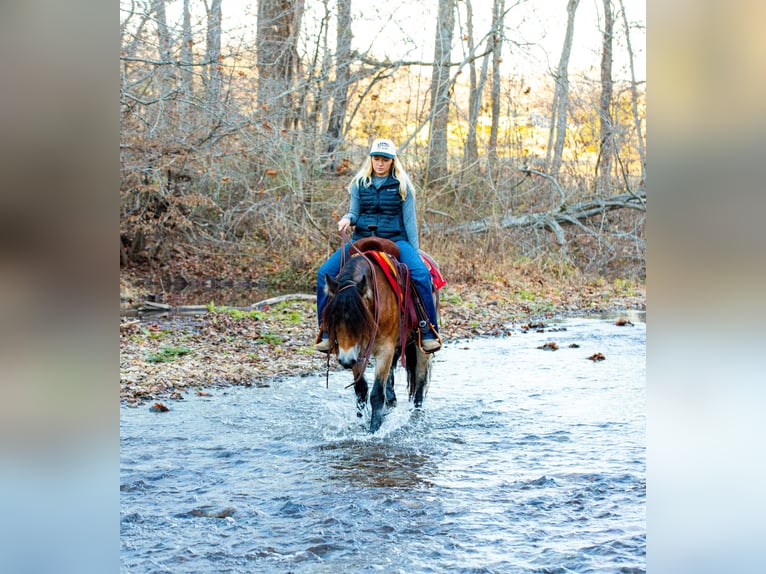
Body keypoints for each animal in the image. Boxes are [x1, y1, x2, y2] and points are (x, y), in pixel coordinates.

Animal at [321, 237, 434, 433]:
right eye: (332, 319)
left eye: (359, 320)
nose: (346, 361)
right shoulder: (357, 350)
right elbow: (361, 390)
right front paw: (361, 421)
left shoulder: (384, 349)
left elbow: (376, 394)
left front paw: (374, 428)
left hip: (420, 345)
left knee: (420, 378)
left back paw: (416, 412)